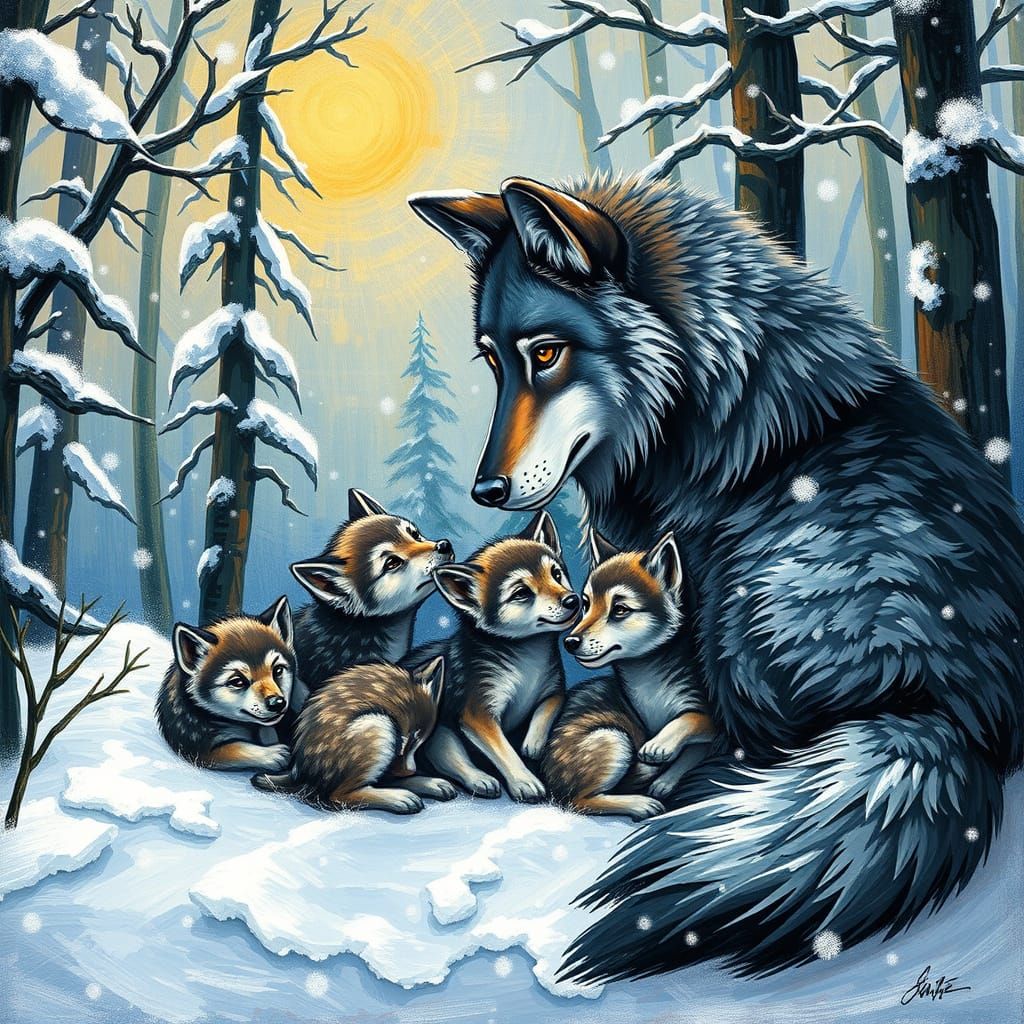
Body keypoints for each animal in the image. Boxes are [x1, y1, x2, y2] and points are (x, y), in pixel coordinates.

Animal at [156, 596, 296, 771]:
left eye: (277, 670)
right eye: (238, 681)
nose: (277, 703)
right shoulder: (194, 746)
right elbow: (233, 749)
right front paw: (272, 754)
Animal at [252, 657, 453, 814]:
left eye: (419, 742)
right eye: (404, 742)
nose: (411, 770)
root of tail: (300, 772)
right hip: (378, 726)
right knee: (340, 794)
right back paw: (399, 798)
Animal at [404, 510, 579, 801]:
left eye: (556, 574)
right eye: (521, 593)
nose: (573, 600)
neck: (526, 656)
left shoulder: (554, 688)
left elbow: (547, 708)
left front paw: (533, 742)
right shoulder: (478, 712)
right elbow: (504, 750)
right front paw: (524, 780)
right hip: (439, 728)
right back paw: (466, 780)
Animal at [544, 530, 715, 819]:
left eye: (620, 609)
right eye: (586, 604)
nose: (570, 642)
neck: (651, 684)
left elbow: (695, 721)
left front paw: (664, 764)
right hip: (615, 738)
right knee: (577, 802)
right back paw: (638, 802)